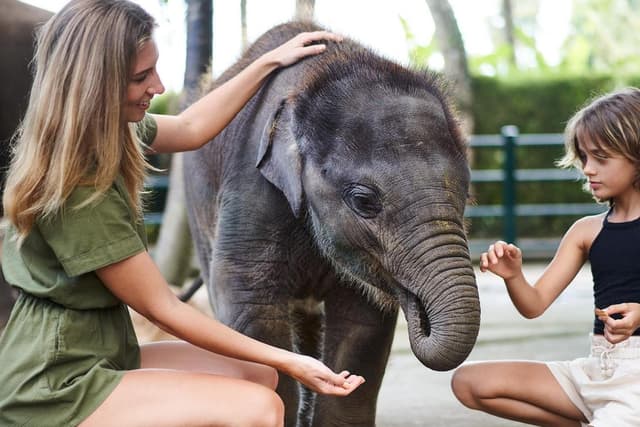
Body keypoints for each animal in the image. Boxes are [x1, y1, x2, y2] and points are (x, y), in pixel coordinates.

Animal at [184, 21, 480, 427]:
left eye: (466, 193)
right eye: (364, 201)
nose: (418, 308)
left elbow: (362, 327)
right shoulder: (251, 186)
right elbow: (249, 306)